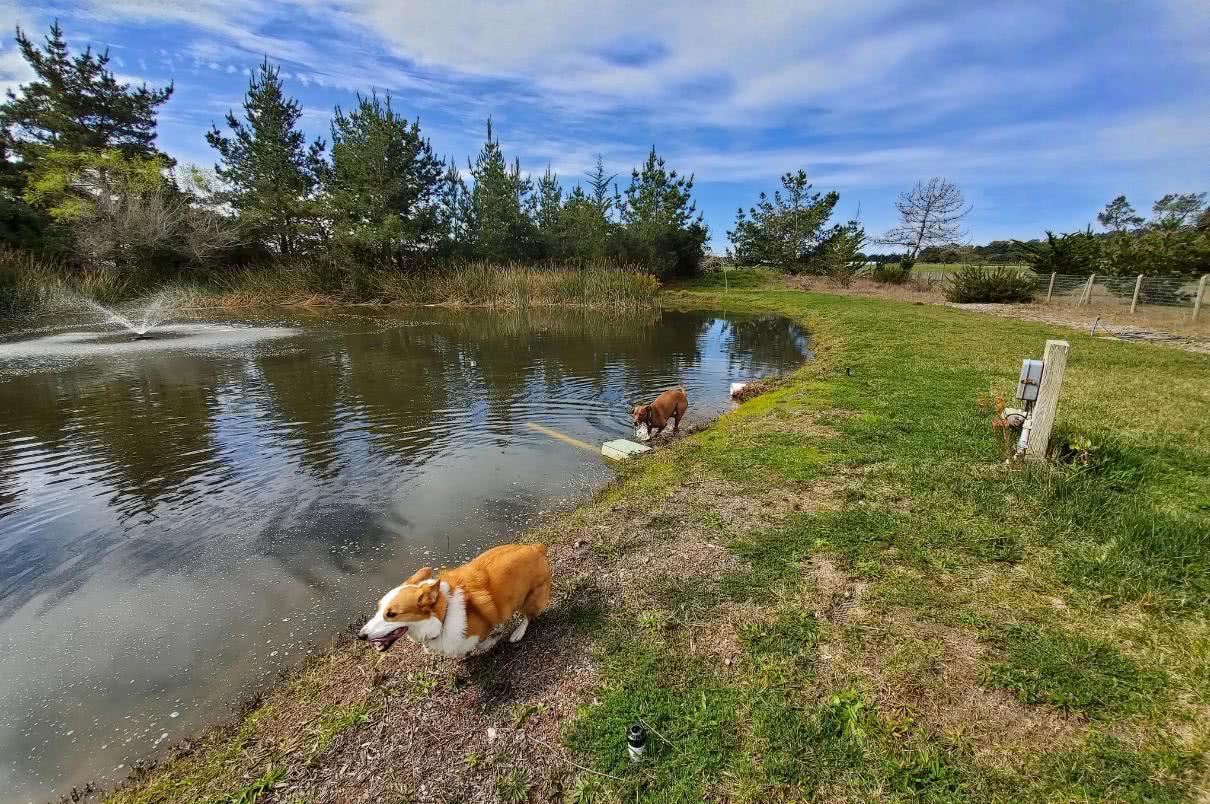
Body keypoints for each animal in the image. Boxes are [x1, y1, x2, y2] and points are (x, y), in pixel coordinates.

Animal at [355, 542, 551, 658]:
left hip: (529, 599)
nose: (360, 636)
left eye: (392, 614)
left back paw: (517, 633)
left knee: (528, 616)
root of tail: (538, 547)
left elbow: (480, 644)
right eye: (378, 609)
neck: (443, 614)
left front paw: (494, 639)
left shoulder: (476, 632)